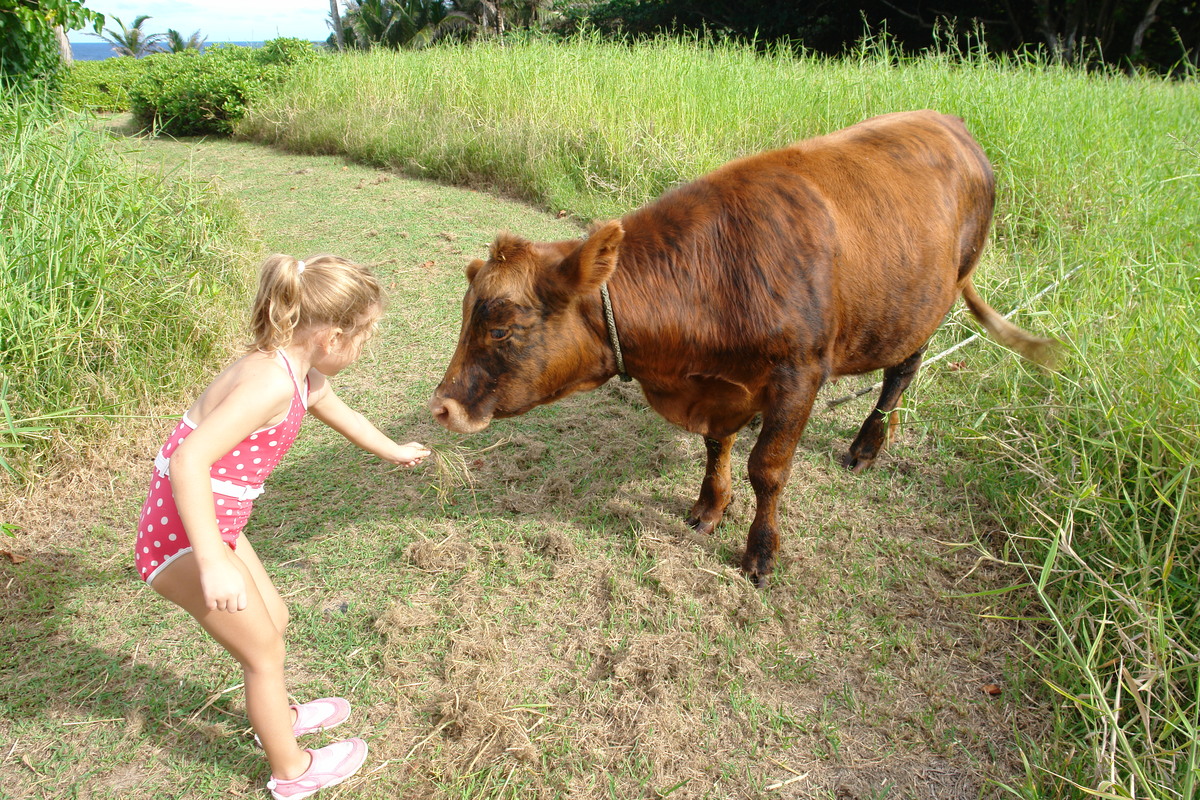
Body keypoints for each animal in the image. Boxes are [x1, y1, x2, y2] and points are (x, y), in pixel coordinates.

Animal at [432, 110, 1060, 587]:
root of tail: (951, 122)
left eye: (501, 328)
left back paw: (866, 446)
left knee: (901, 373)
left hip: (926, 304)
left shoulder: (799, 375)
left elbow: (768, 469)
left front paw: (761, 552)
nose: (441, 405)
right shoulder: (719, 388)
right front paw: (711, 507)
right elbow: (718, 446)